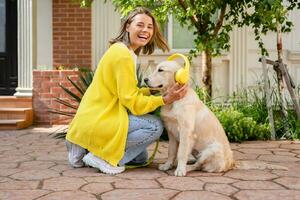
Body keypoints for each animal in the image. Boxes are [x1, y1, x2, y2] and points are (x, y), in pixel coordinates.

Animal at [145, 59, 288, 177]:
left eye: (160, 70)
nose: (145, 80)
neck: (174, 102)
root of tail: (232, 163)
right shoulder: (171, 133)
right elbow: (171, 152)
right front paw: (167, 165)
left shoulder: (186, 133)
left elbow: (181, 153)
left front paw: (180, 170)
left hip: (211, 150)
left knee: (199, 166)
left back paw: (188, 167)